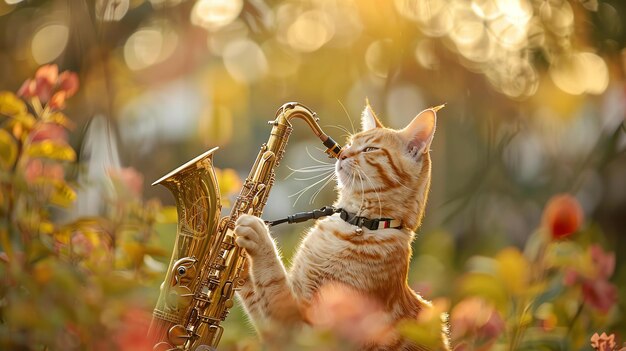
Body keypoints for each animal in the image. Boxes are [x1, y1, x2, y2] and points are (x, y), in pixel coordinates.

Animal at [234, 101, 448, 350]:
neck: (356, 222)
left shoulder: (310, 332)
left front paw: (257, 234)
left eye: (370, 149)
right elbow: (255, 295)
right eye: (350, 143)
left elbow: (273, 284)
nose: (341, 153)